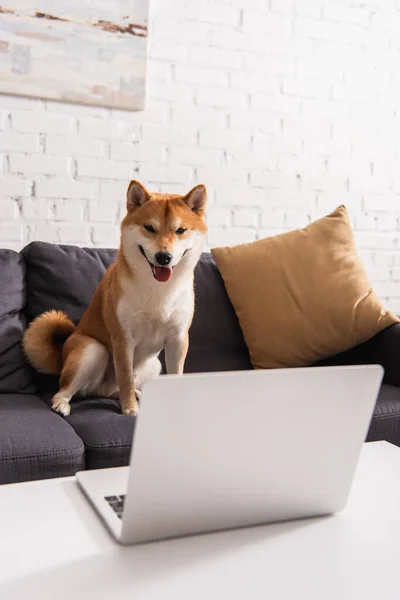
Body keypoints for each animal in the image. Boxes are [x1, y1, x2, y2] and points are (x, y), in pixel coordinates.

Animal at [23, 182, 208, 418]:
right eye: (149, 228)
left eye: (181, 230)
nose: (163, 257)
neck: (158, 289)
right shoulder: (123, 338)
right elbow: (126, 378)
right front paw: (130, 409)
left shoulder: (178, 339)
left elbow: (175, 375)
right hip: (92, 351)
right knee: (66, 389)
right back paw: (62, 404)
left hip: (153, 366)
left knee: (117, 390)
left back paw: (140, 395)